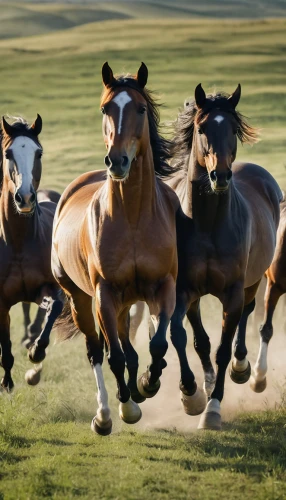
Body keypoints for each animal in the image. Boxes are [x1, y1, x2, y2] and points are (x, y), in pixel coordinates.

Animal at [50, 62, 178, 436]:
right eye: (105, 108)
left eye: (141, 108)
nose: (117, 161)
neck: (132, 217)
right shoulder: (104, 293)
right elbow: (115, 356)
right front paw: (128, 407)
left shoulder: (163, 286)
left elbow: (157, 343)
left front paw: (149, 383)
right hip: (82, 299)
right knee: (97, 351)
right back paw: (106, 414)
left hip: (124, 303)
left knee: (128, 348)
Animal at [168, 85, 282, 430]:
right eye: (202, 129)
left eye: (232, 129)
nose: (220, 176)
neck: (207, 224)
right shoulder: (184, 291)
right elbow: (184, 336)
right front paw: (191, 394)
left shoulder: (231, 291)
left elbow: (221, 347)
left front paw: (213, 408)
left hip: (253, 281)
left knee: (246, 314)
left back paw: (241, 367)